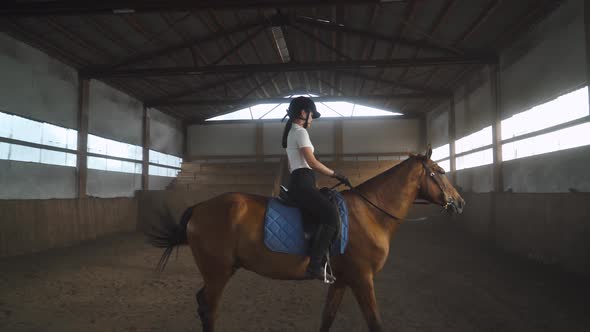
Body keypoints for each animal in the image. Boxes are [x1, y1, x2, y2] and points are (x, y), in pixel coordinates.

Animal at [146, 148, 464, 332]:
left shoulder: (342, 280)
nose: (459, 203)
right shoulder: (362, 279)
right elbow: (375, 324)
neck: (369, 213)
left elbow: (327, 319)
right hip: (217, 272)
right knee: (208, 308)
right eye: (439, 172)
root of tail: (201, 207)